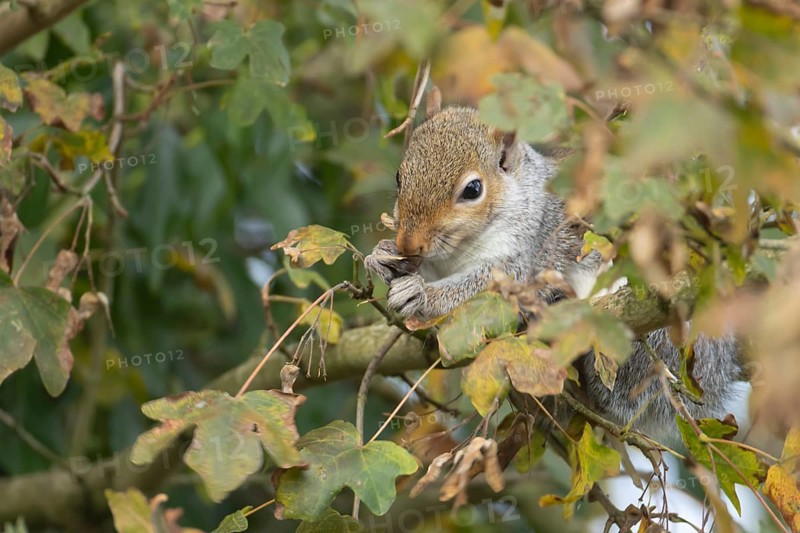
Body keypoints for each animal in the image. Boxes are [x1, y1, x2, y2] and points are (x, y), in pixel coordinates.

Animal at [365, 106, 747, 438]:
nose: (409, 242)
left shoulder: (528, 254)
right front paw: (381, 257)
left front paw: (420, 294)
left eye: (473, 189)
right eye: (400, 176)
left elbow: (486, 290)